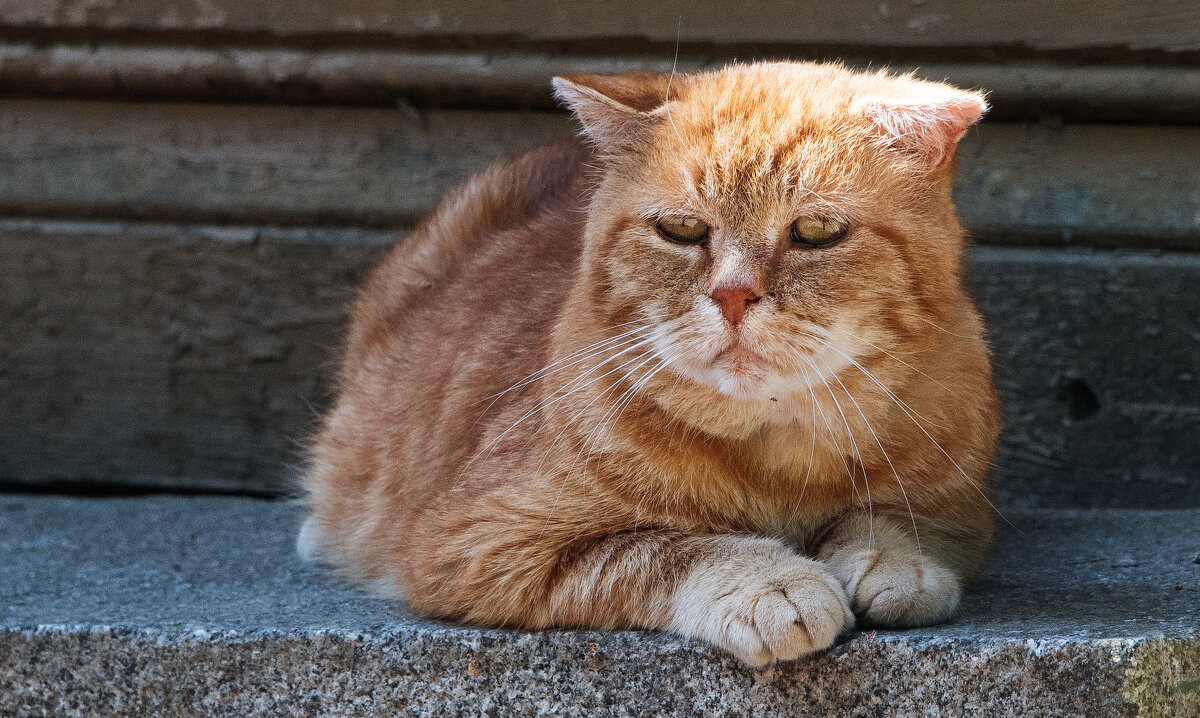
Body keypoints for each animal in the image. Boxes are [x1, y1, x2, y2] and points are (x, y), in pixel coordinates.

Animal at [300, 64, 1003, 667]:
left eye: (817, 231)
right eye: (682, 230)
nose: (733, 295)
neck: (771, 462)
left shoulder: (961, 505)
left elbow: (896, 521)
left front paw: (897, 563)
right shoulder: (476, 542)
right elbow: (666, 548)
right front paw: (770, 583)